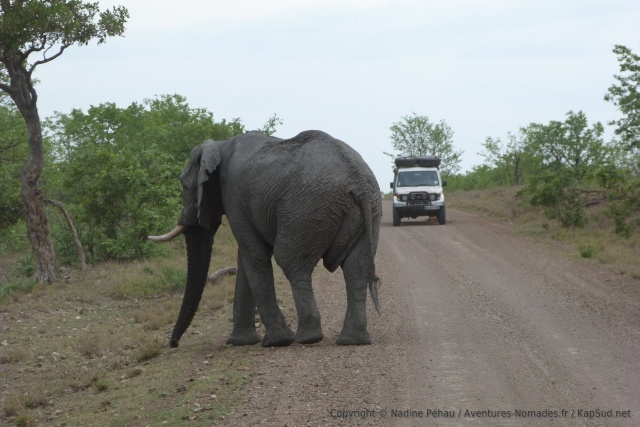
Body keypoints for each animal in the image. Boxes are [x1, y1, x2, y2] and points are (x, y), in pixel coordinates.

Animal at [149, 130, 382, 348]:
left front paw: (275, 341)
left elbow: (253, 254)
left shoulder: (233, 195)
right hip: (369, 209)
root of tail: (358, 180)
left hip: (306, 209)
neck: (219, 145)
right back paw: (353, 340)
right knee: (356, 269)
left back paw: (307, 338)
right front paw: (240, 342)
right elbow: (244, 257)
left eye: (184, 185)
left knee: (290, 261)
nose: (173, 344)